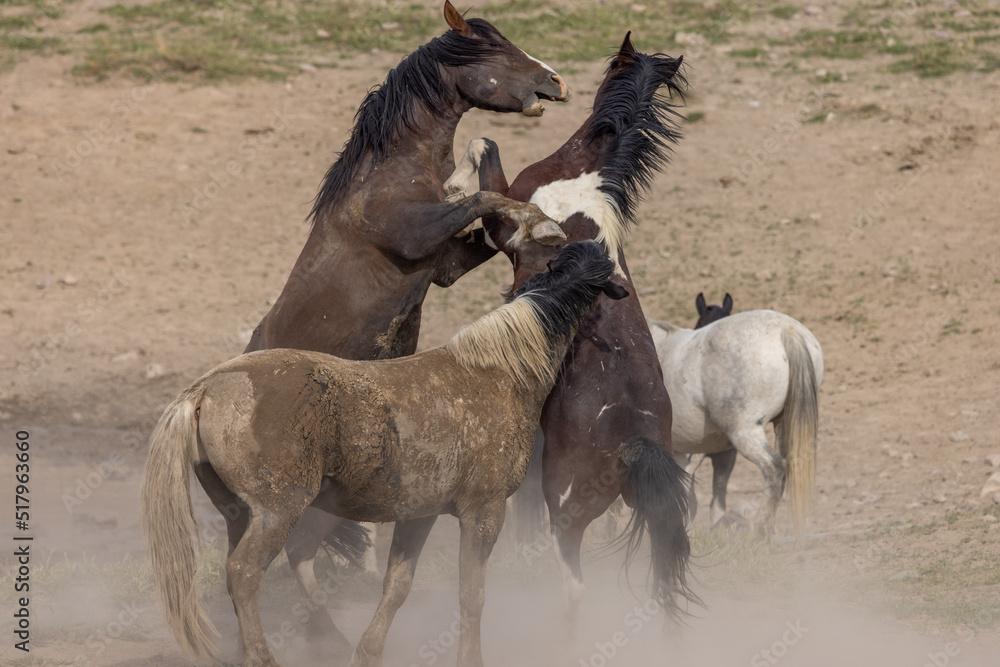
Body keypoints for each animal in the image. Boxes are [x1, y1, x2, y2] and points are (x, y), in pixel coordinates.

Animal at [141, 241, 628, 667]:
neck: (499, 373)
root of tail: (207, 388)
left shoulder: (421, 515)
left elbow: (397, 587)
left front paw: (368, 654)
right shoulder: (484, 513)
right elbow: (472, 596)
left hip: (241, 515)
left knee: (247, 573)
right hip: (279, 512)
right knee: (244, 574)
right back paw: (263, 657)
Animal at [239, 0, 571, 644]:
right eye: (495, 51)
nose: (556, 81)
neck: (388, 174)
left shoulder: (443, 266)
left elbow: (479, 172)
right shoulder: (417, 237)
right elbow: (481, 201)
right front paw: (538, 220)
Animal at [445, 33, 694, 621]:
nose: (554, 86)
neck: (583, 177)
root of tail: (635, 442)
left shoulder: (506, 222)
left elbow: (485, 146)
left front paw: (452, 185)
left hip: (566, 512)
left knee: (574, 586)